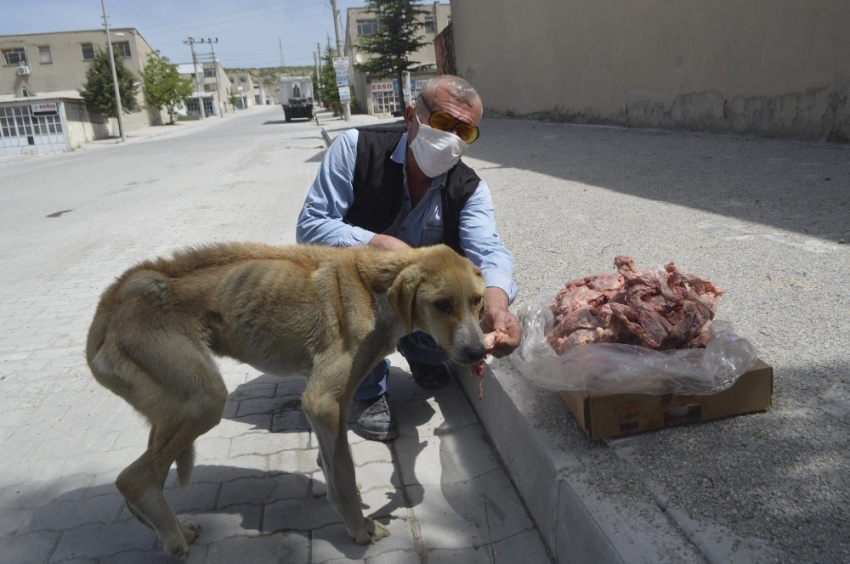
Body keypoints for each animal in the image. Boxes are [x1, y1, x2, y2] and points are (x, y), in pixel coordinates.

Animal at [87, 242, 486, 556]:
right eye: (442, 305)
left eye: (477, 301)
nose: (478, 352)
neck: (375, 289)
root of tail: (111, 301)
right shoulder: (322, 401)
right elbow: (343, 475)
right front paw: (359, 528)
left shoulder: (327, 404)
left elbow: (334, 462)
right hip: (203, 401)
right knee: (133, 479)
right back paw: (172, 537)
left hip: (172, 409)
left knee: (143, 480)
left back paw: (171, 527)